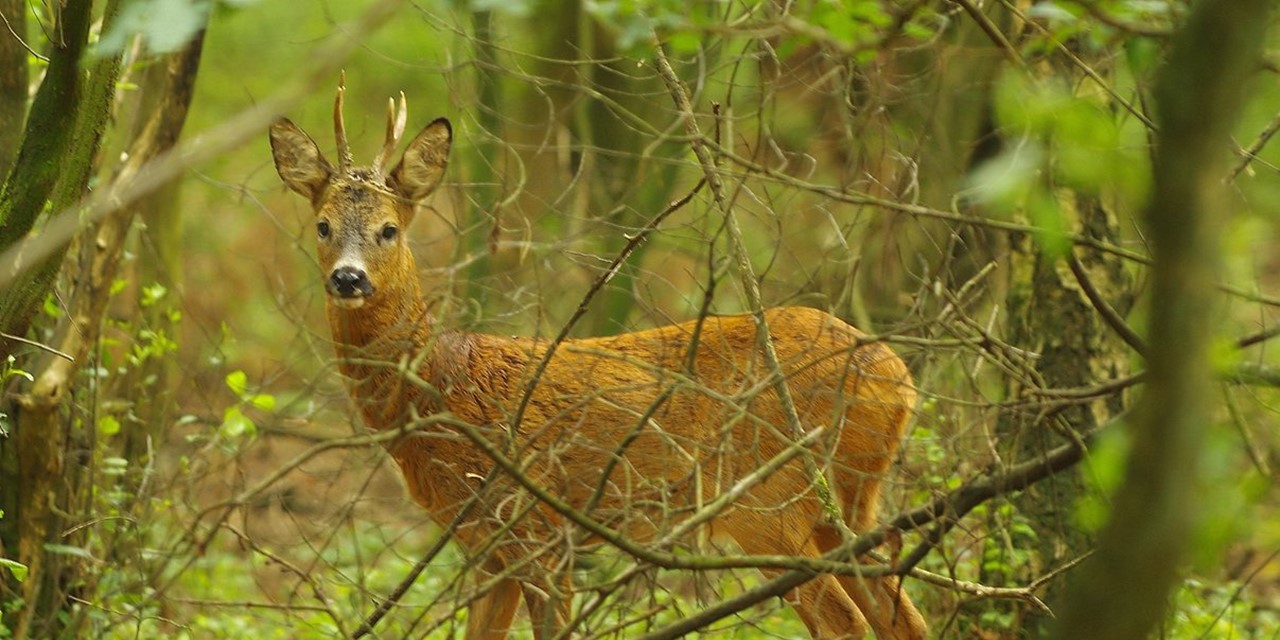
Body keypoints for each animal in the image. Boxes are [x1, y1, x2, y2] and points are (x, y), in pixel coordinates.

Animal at [272, 81, 931, 640]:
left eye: (388, 229)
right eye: (323, 225)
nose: (348, 278)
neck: (439, 387)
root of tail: (898, 377)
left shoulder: (538, 527)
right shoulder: (487, 547)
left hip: (770, 500)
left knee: (846, 622)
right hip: (845, 506)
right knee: (902, 615)